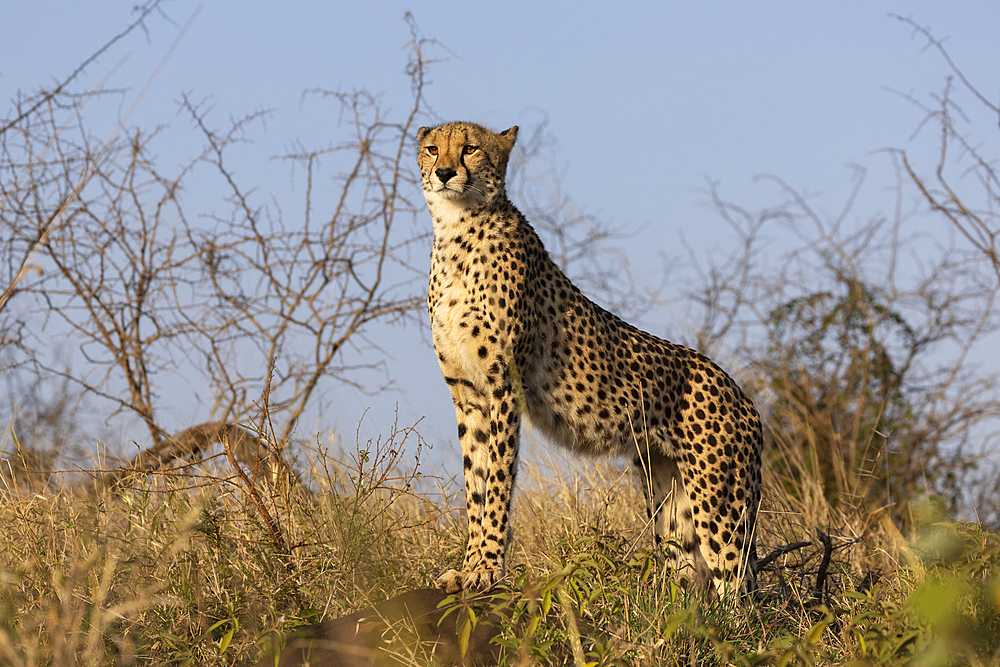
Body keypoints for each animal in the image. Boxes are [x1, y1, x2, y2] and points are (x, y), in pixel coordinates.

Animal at [418, 122, 760, 596]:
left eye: (470, 148)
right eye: (433, 149)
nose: (446, 173)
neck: (456, 230)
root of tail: (741, 393)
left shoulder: (504, 387)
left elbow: (498, 482)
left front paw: (487, 568)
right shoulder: (468, 395)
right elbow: (476, 484)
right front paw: (467, 567)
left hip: (719, 497)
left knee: (740, 584)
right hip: (668, 492)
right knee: (688, 578)